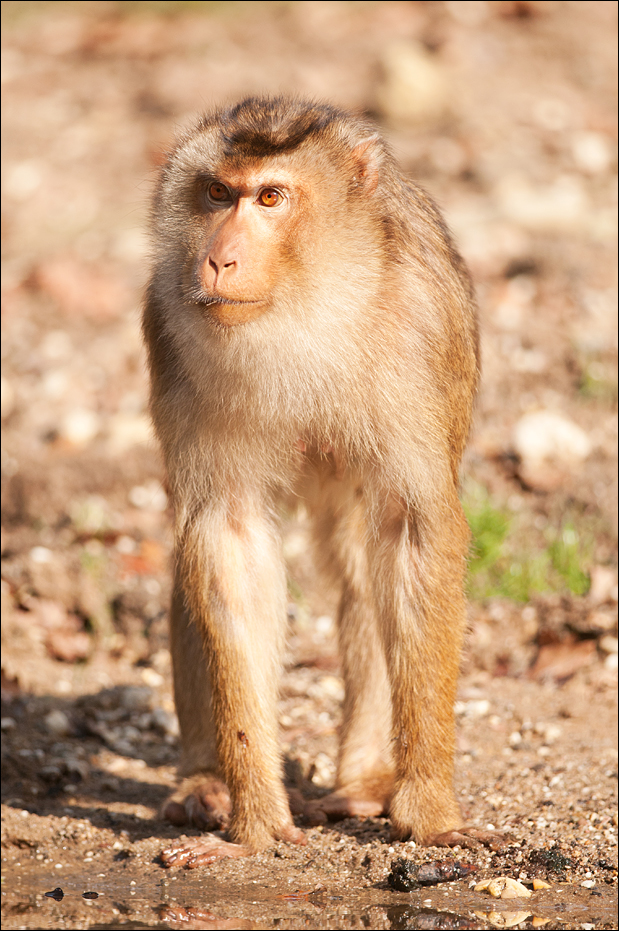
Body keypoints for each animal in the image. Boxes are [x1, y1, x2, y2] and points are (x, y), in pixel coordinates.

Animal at [143, 96, 500, 868]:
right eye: (217, 193)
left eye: (271, 198)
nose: (217, 257)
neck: (307, 309)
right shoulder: (171, 332)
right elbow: (229, 538)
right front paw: (254, 822)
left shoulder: (417, 331)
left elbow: (410, 531)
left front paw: (428, 812)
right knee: (194, 557)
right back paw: (205, 779)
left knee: (364, 564)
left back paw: (363, 779)